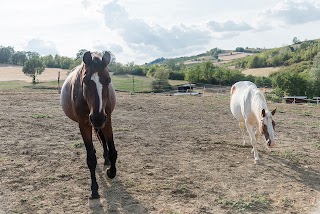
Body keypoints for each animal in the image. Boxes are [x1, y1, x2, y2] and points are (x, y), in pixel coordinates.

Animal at [59, 51, 116, 198]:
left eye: (108, 80)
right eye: (85, 81)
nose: (97, 118)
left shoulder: (107, 120)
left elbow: (113, 150)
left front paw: (111, 172)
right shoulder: (84, 124)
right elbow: (91, 158)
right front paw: (94, 189)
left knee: (102, 139)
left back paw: (106, 159)